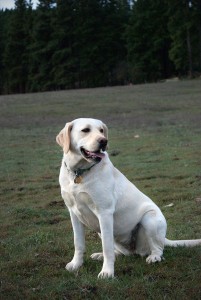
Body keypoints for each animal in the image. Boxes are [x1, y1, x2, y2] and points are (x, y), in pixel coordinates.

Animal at [56, 118, 201, 278]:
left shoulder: (104, 213)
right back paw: (100, 255)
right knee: (123, 253)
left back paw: (154, 257)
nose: (104, 141)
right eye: (85, 130)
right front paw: (76, 264)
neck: (79, 172)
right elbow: (78, 243)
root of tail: (164, 238)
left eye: (101, 130)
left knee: (158, 248)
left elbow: (107, 247)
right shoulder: (74, 213)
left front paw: (107, 272)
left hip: (150, 219)